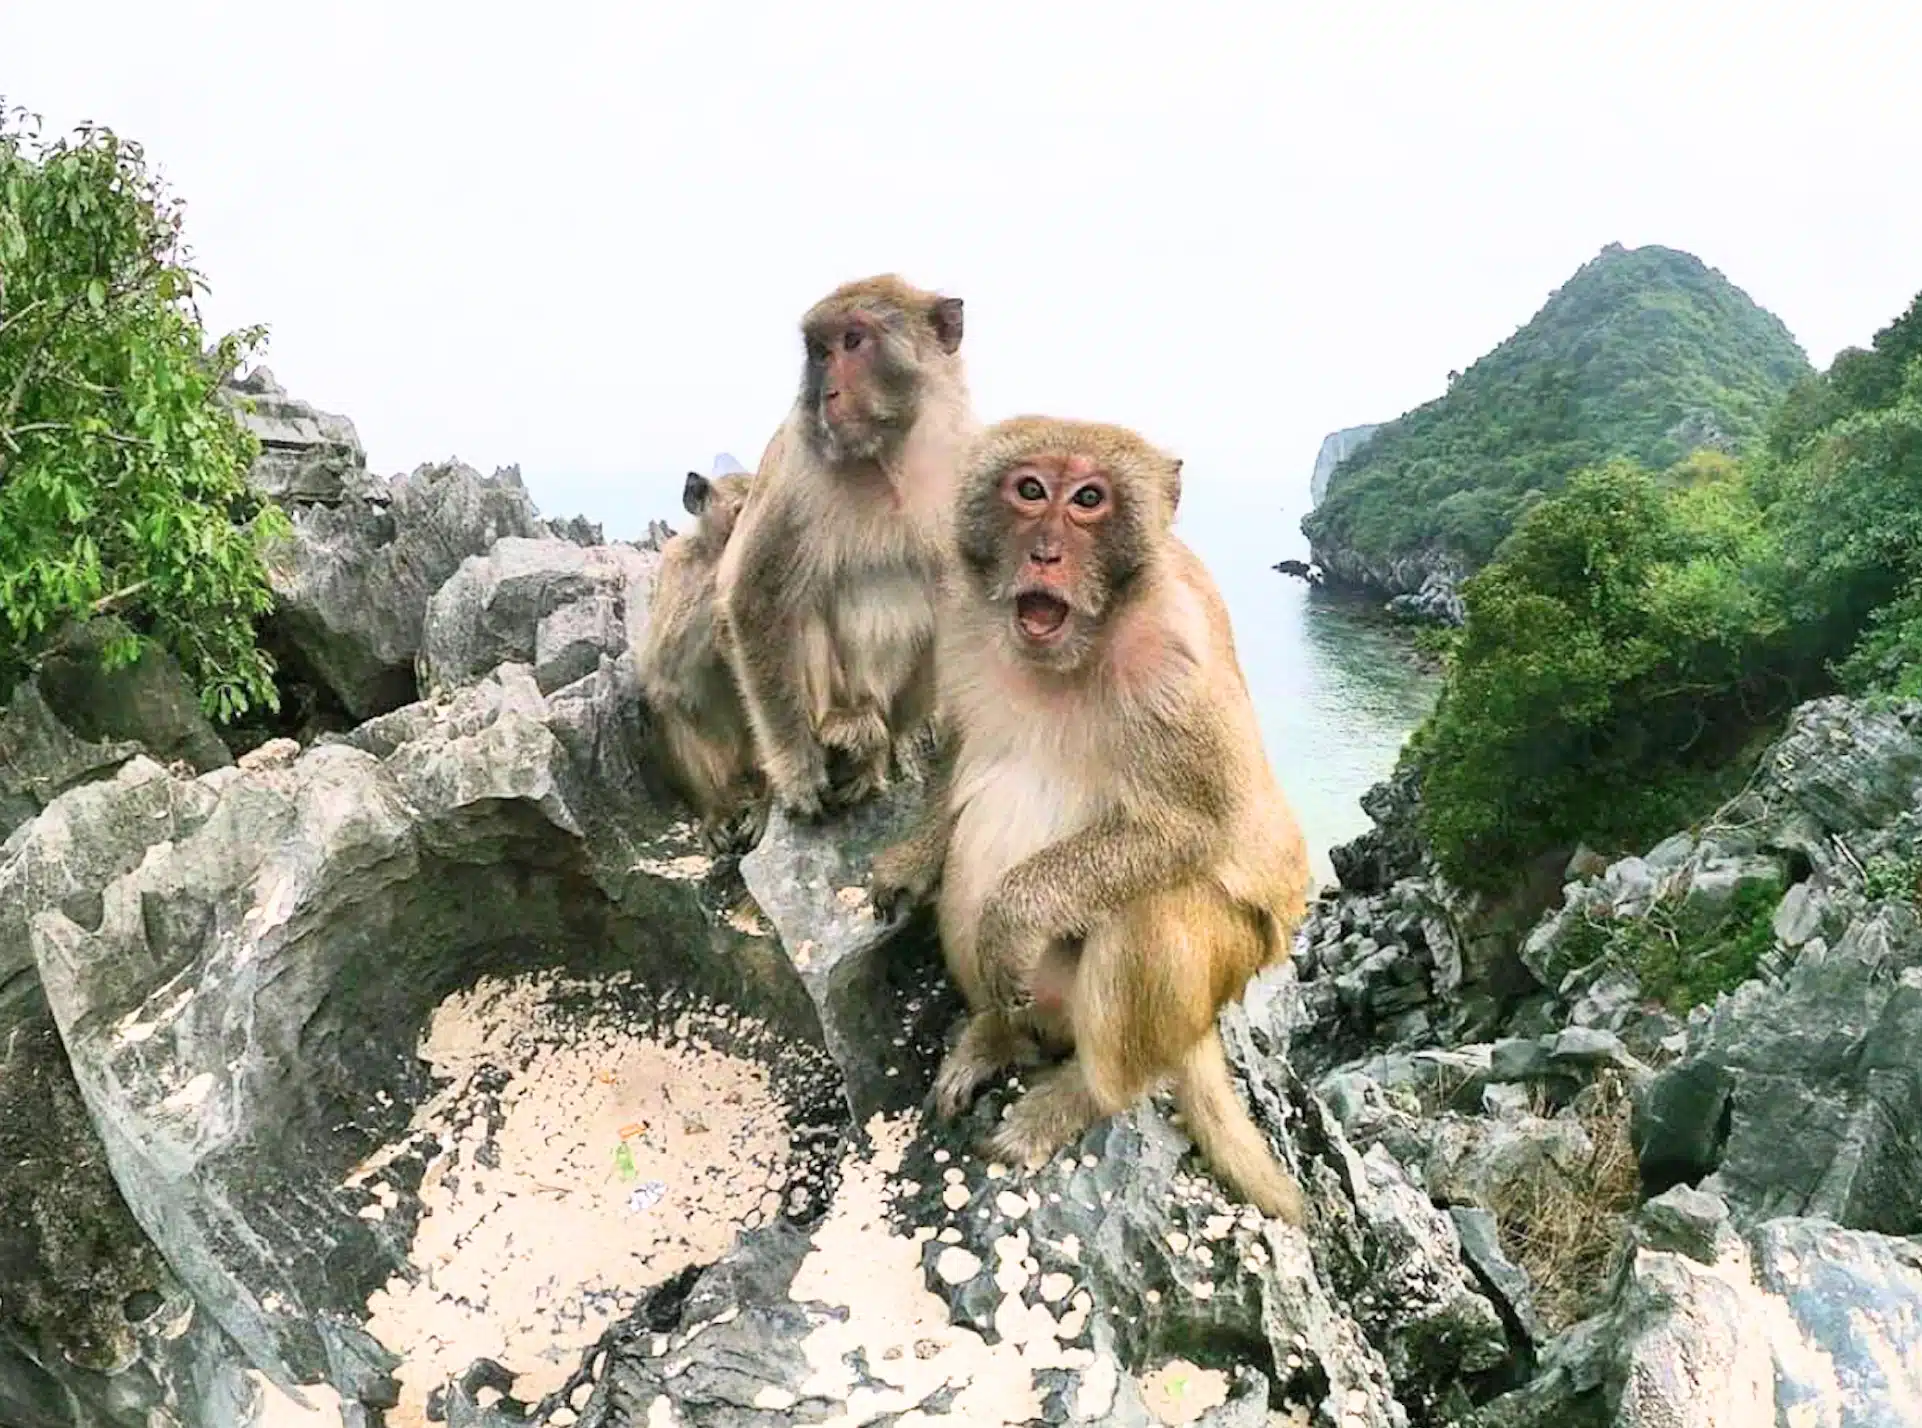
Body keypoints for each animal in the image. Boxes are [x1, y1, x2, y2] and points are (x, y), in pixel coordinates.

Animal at [636, 469, 766, 854]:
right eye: (741, 511)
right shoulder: (676, 564)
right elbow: (664, 657)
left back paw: (768, 803)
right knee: (668, 706)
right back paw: (716, 813)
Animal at [715, 275, 977, 821]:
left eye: (854, 341)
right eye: (820, 352)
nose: (828, 392)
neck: (886, 460)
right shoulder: (795, 471)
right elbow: (755, 599)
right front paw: (797, 769)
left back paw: (874, 746)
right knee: (799, 607)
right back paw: (843, 727)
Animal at [868, 417, 1313, 1224]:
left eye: (1088, 500)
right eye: (1030, 489)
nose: (1046, 552)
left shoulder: (1173, 658)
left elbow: (1193, 828)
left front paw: (1014, 917)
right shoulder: (960, 620)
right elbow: (960, 757)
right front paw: (910, 860)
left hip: (1225, 965)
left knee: (1153, 910)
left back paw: (1085, 1094)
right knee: (978, 840)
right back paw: (999, 1038)